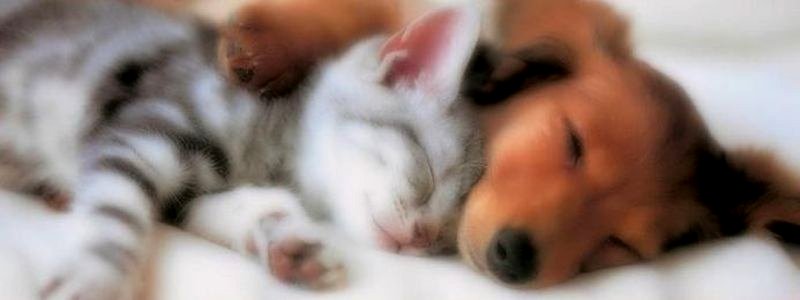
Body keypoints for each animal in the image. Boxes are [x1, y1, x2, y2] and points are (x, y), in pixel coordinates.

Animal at [0, 1, 482, 298]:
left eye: (445, 234)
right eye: (427, 171)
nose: (422, 236)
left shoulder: (187, 192)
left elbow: (237, 207)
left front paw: (290, 241)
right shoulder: (143, 128)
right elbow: (116, 213)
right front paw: (96, 276)